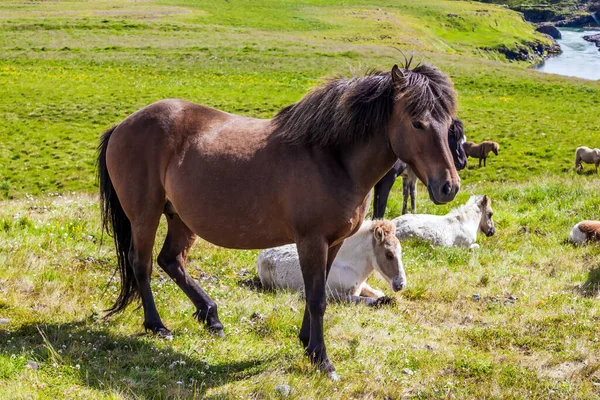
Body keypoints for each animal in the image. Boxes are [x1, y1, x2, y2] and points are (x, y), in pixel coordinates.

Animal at [255, 219, 406, 306]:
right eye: (389, 254)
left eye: (400, 252)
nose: (401, 284)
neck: (350, 266)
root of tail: (263, 252)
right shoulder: (328, 293)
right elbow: (364, 299)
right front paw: (385, 302)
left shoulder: (362, 285)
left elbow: (378, 293)